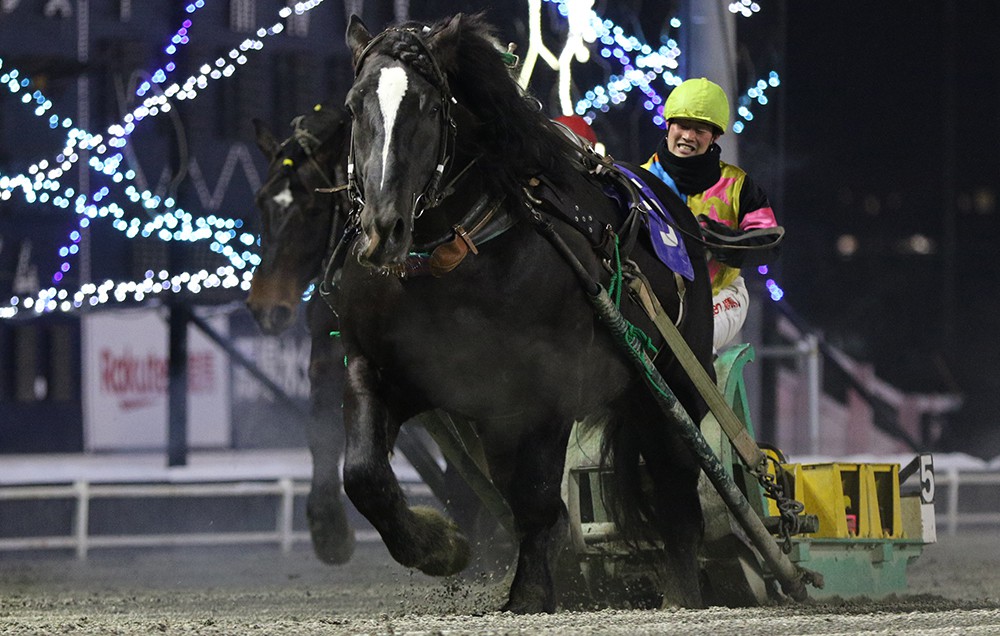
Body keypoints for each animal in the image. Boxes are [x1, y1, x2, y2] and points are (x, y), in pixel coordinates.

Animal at [338, 13, 716, 613]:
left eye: (428, 106)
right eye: (355, 106)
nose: (382, 230)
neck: (453, 262)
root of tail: (671, 207)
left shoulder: (546, 388)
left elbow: (539, 502)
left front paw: (530, 594)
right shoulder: (385, 369)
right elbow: (364, 475)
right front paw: (439, 546)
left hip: (673, 386)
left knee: (677, 498)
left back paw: (684, 596)